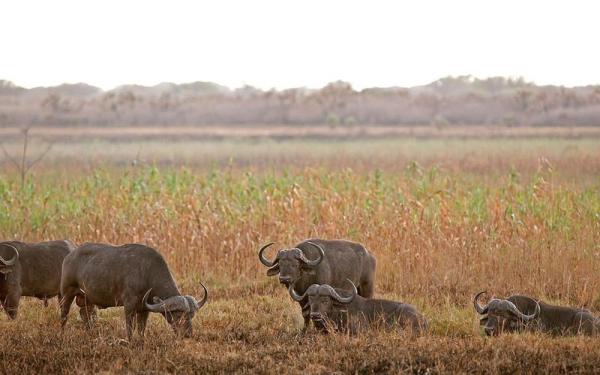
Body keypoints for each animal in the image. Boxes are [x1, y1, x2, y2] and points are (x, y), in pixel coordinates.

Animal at [59, 244, 207, 340]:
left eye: (191, 315)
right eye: (178, 315)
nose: (188, 334)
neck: (147, 273)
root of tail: (69, 256)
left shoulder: (144, 309)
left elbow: (141, 329)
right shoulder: (129, 306)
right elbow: (130, 328)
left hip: (87, 298)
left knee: (85, 314)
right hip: (67, 292)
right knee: (64, 313)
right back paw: (62, 333)